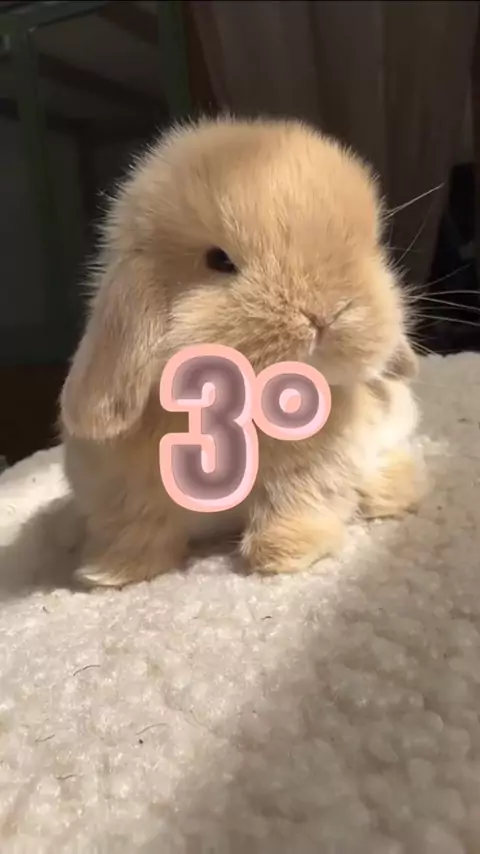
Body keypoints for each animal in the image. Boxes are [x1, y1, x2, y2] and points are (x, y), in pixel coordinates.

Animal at [59, 115, 425, 587]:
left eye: (370, 248)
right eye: (219, 261)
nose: (325, 315)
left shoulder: (308, 474)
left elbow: (294, 502)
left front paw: (286, 554)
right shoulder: (123, 489)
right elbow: (138, 526)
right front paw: (109, 573)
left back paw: (393, 494)